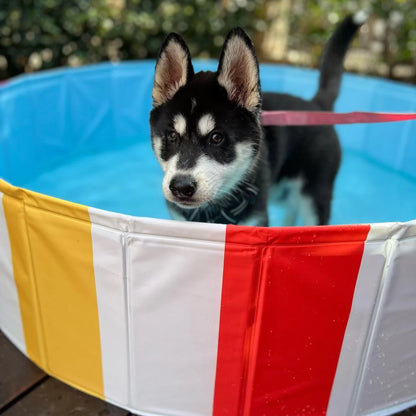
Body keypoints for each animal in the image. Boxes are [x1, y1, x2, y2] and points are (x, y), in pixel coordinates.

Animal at [149, 13, 364, 228]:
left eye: (216, 137)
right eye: (172, 136)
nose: (181, 186)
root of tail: (316, 105)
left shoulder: (257, 221)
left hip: (314, 196)